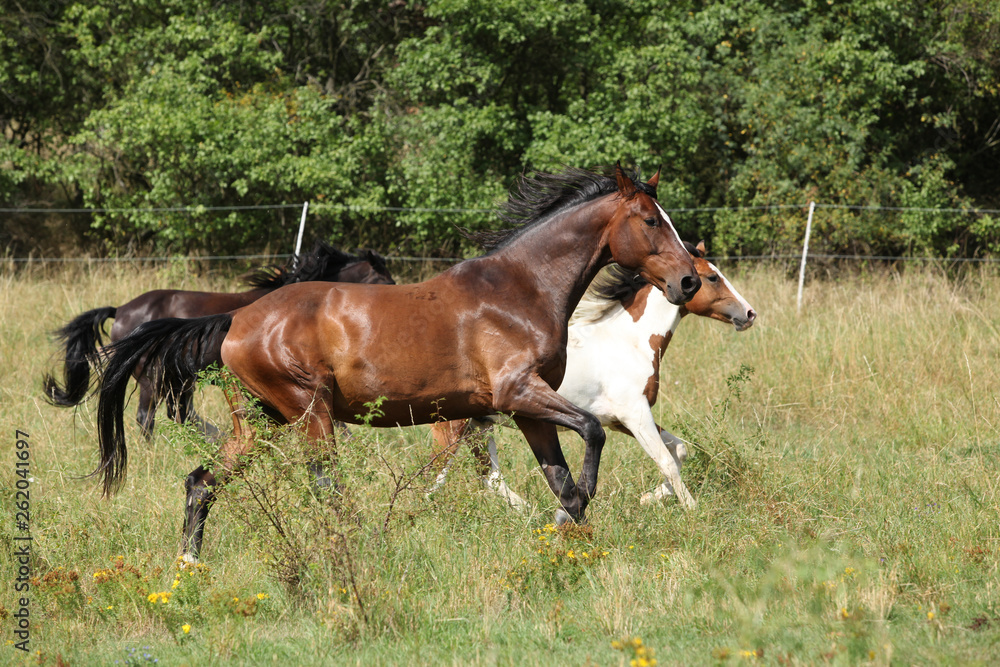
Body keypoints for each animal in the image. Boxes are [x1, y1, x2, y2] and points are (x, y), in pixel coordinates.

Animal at [43, 242, 394, 438]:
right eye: (382, 278)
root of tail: (121, 312)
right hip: (152, 375)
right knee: (149, 417)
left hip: (178, 377)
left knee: (179, 414)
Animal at [94, 164, 702, 561]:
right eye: (651, 220)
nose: (688, 281)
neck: (520, 290)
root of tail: (235, 320)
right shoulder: (519, 393)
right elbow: (593, 432)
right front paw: (576, 519)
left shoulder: (527, 410)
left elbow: (562, 478)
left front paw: (567, 532)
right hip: (308, 412)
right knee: (326, 486)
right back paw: (359, 549)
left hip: (261, 421)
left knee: (202, 479)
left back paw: (190, 562)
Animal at [427, 240, 756, 515]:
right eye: (712, 278)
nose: (749, 313)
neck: (628, 341)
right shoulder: (635, 415)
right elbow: (666, 460)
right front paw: (692, 510)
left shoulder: (621, 420)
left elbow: (679, 450)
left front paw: (649, 498)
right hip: (452, 428)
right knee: (434, 479)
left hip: (479, 426)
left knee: (490, 478)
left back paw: (533, 512)